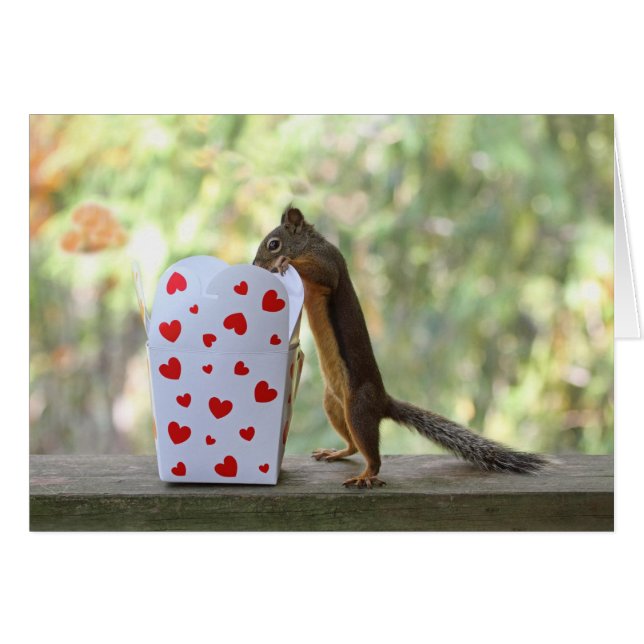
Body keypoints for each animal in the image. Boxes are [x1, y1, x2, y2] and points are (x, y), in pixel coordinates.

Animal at [253, 205, 548, 488]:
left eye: (273, 244)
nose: (255, 265)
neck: (310, 244)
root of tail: (382, 401)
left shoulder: (328, 262)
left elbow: (320, 273)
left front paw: (285, 262)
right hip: (334, 406)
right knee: (353, 446)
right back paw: (337, 452)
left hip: (358, 410)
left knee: (372, 456)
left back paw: (366, 476)